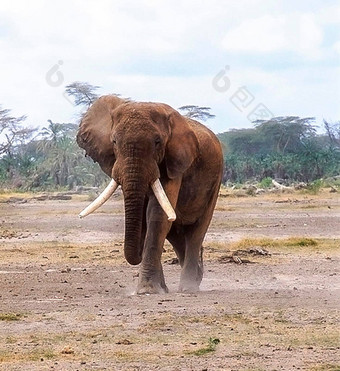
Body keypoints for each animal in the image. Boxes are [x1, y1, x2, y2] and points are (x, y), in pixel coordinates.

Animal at [76, 97, 223, 294]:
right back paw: (196, 276)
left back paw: (188, 287)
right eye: (114, 141)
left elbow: (156, 214)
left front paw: (147, 290)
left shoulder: (173, 163)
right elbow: (148, 218)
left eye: (157, 142)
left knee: (197, 230)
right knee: (175, 233)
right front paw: (156, 289)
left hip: (215, 181)